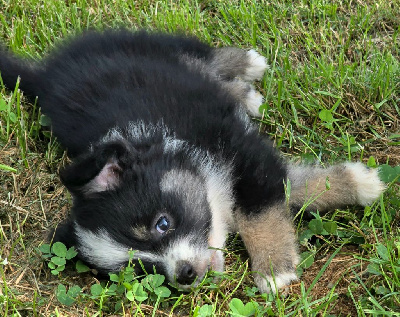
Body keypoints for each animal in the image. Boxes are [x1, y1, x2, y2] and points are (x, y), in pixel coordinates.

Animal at [0, 29, 384, 292]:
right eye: (142, 270)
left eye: (162, 223)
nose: (184, 275)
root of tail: (43, 75)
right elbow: (288, 188)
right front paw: (358, 182)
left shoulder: (239, 149)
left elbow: (258, 212)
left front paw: (275, 271)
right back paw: (243, 92)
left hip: (151, 46)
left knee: (202, 58)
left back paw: (247, 66)